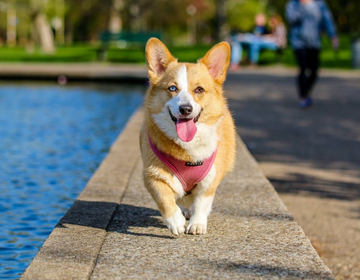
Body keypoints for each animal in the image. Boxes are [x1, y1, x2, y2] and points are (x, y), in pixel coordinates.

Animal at [140, 38, 236, 235]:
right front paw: (175, 222)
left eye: (199, 89)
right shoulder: (152, 175)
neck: (187, 149)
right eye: (172, 88)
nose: (185, 109)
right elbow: (165, 199)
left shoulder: (210, 180)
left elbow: (201, 203)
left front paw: (197, 224)